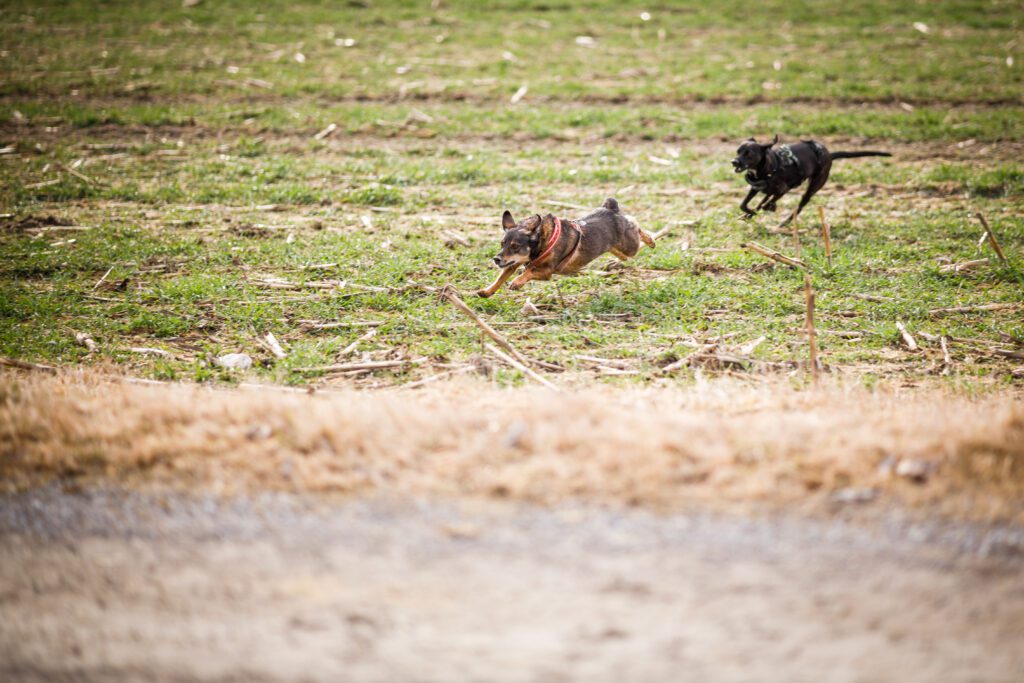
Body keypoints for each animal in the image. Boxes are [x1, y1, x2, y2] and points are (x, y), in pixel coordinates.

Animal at [475, 194, 651, 296]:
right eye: (502, 244)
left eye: (515, 246)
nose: (496, 259)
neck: (543, 242)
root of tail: (611, 209)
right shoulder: (513, 263)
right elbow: (500, 277)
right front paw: (486, 291)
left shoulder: (546, 272)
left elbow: (529, 271)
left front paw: (517, 282)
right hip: (618, 248)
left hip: (630, 246)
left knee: (636, 225)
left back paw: (651, 240)